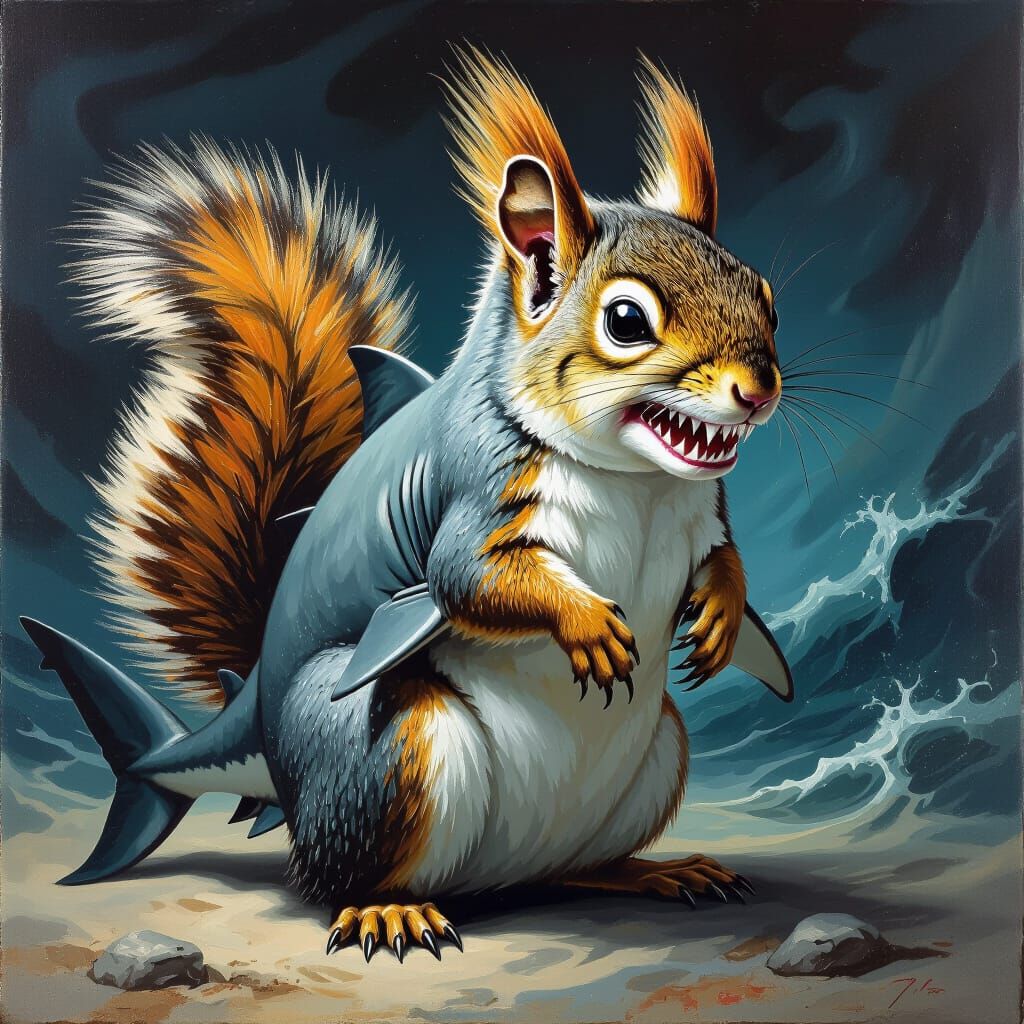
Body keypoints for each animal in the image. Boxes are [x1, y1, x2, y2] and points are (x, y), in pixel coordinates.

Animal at [21, 50, 792, 964]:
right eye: (627, 320)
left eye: (766, 295)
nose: (758, 391)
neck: (636, 479)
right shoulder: (479, 495)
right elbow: (466, 580)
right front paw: (591, 627)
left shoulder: (703, 518)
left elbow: (726, 564)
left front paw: (718, 619)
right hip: (386, 754)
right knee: (333, 871)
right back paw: (388, 910)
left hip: (659, 753)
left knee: (581, 866)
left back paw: (655, 872)